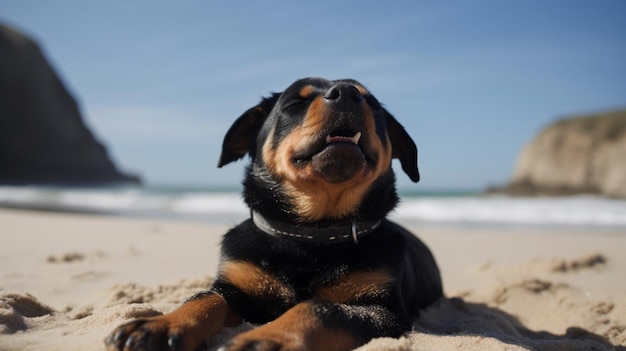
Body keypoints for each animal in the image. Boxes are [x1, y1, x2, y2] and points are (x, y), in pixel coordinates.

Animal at [105, 77, 442, 351]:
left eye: (372, 105)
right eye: (296, 103)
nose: (346, 93)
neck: (310, 235)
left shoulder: (383, 310)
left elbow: (319, 308)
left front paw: (269, 338)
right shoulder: (236, 285)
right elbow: (204, 296)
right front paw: (161, 324)